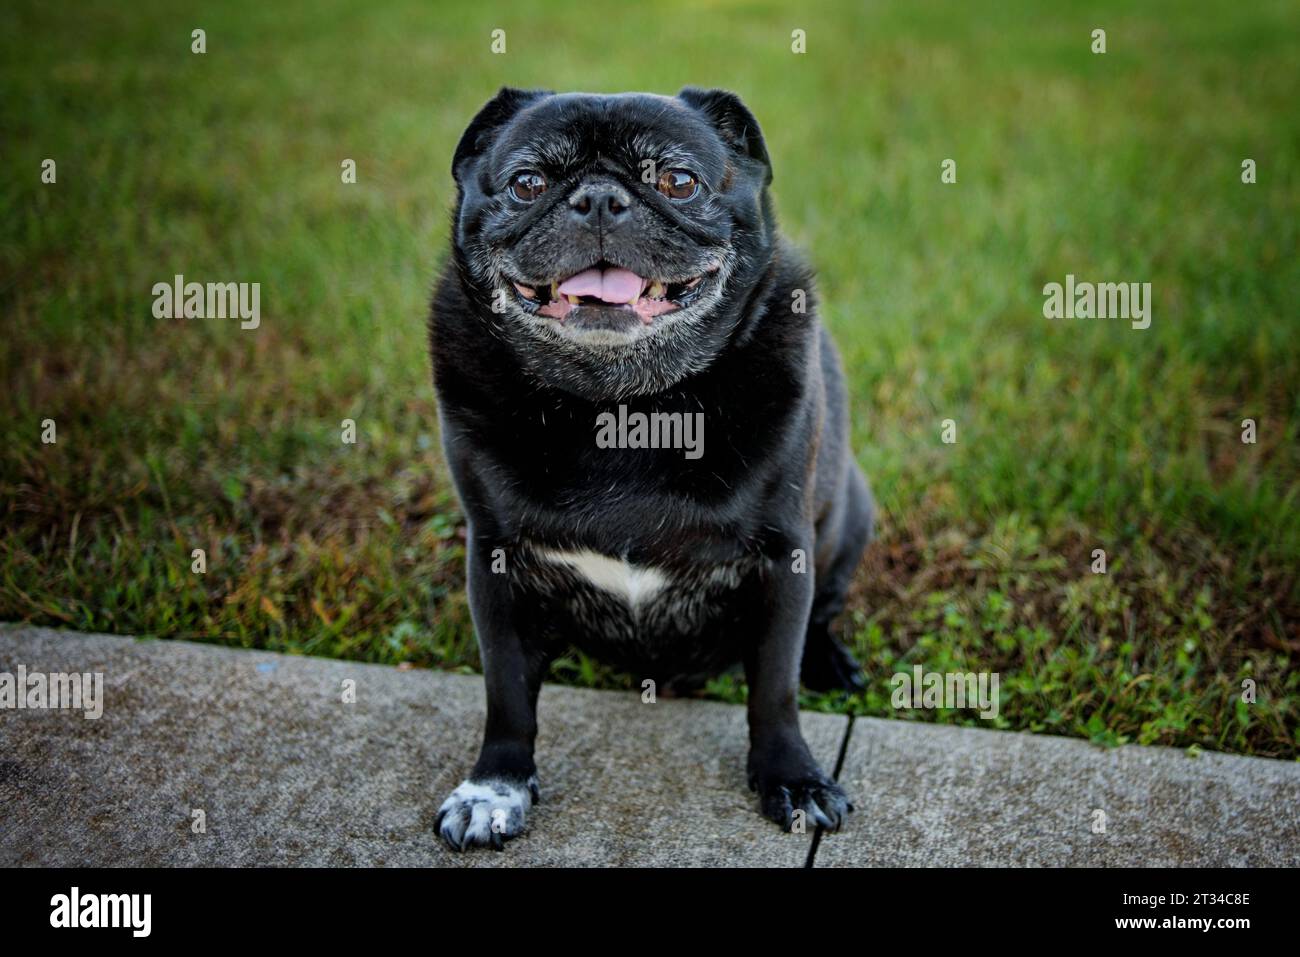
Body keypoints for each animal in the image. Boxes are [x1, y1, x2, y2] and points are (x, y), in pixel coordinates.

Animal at [428, 87, 873, 852]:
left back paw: (830, 661)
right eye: (528, 183)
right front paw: (494, 787)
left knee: (820, 618)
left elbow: (774, 689)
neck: (621, 404)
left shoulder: (782, 558)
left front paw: (792, 777)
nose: (601, 199)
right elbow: (506, 693)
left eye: (678, 181)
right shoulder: (496, 562)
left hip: (850, 514)